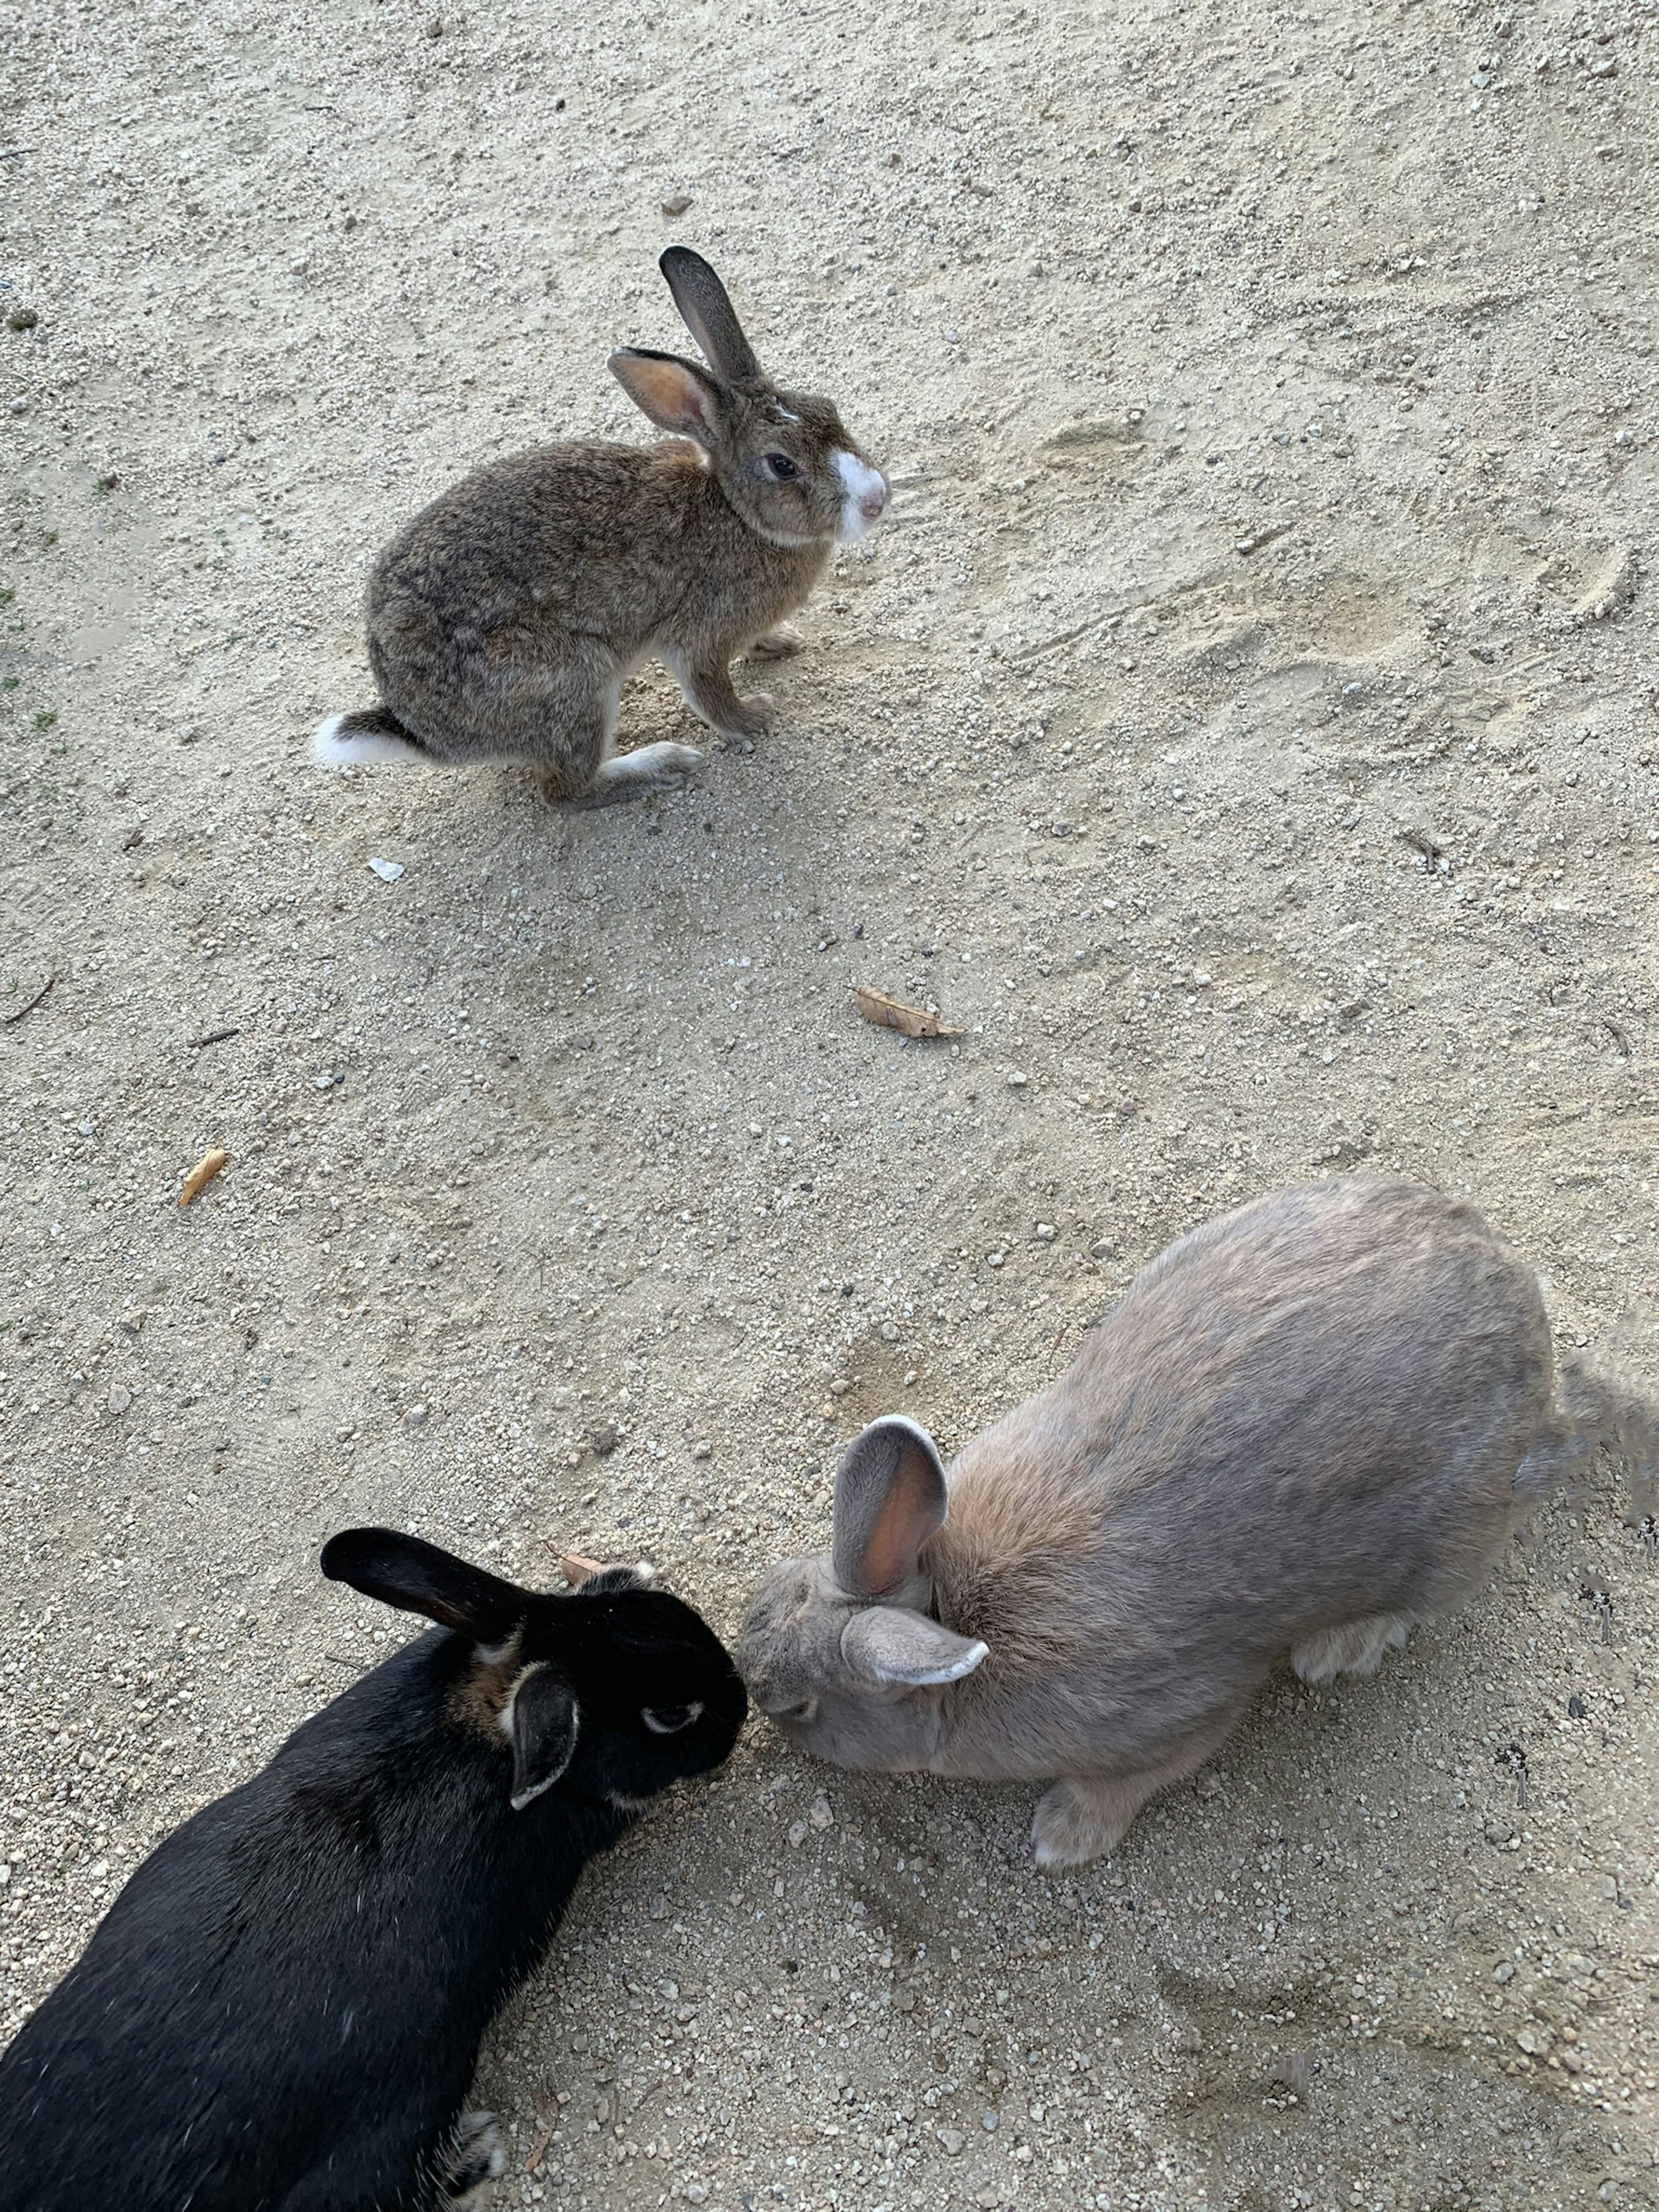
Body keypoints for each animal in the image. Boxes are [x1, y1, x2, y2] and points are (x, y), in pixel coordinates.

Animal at [0, 1539, 747, 2212]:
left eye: (654, 1609)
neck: (482, 1715)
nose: (740, 1704)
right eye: (671, 1714)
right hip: (401, 2122)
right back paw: (478, 2154)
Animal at [309, 251, 885, 805]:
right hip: (573, 680)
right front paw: (755, 718)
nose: (877, 500)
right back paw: (662, 764)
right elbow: (708, 689)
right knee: (564, 792)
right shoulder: (699, 634)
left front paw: (780, 642)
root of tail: (425, 733)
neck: (736, 512)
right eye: (782, 465)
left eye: (830, 410)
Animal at [739, 1176, 1659, 1867]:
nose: (750, 1683)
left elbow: (1139, 1777)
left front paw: (1060, 1839)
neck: (952, 1611)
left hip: (1451, 1540)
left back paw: (1335, 1651)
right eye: (777, 1593)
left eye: (804, 1708)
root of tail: (1541, 1375)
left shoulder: (1175, 1724)